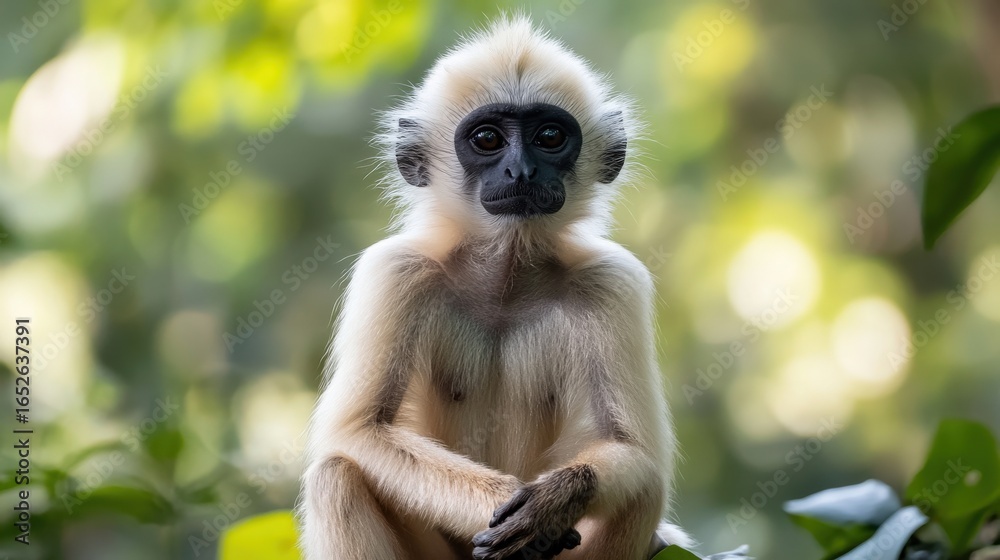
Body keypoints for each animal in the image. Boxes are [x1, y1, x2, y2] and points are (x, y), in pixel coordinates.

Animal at [300, 15, 691, 560]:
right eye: (487, 140)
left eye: (550, 136)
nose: (520, 170)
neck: (506, 278)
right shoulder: (396, 270)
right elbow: (359, 430)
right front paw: (522, 508)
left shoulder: (611, 280)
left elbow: (633, 449)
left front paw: (553, 501)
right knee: (335, 475)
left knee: (644, 488)